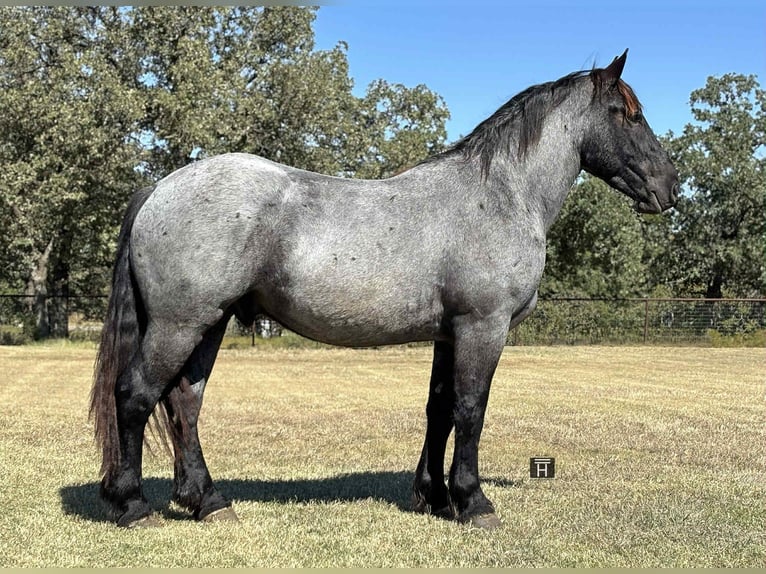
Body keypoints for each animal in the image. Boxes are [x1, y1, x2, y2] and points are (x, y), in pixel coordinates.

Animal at [90, 50, 678, 529]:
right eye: (628, 113)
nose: (668, 187)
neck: (500, 195)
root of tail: (159, 188)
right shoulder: (483, 327)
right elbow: (471, 408)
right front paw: (474, 502)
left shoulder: (448, 334)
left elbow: (439, 409)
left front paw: (435, 497)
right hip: (180, 324)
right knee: (136, 395)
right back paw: (133, 505)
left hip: (208, 324)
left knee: (184, 402)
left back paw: (207, 501)